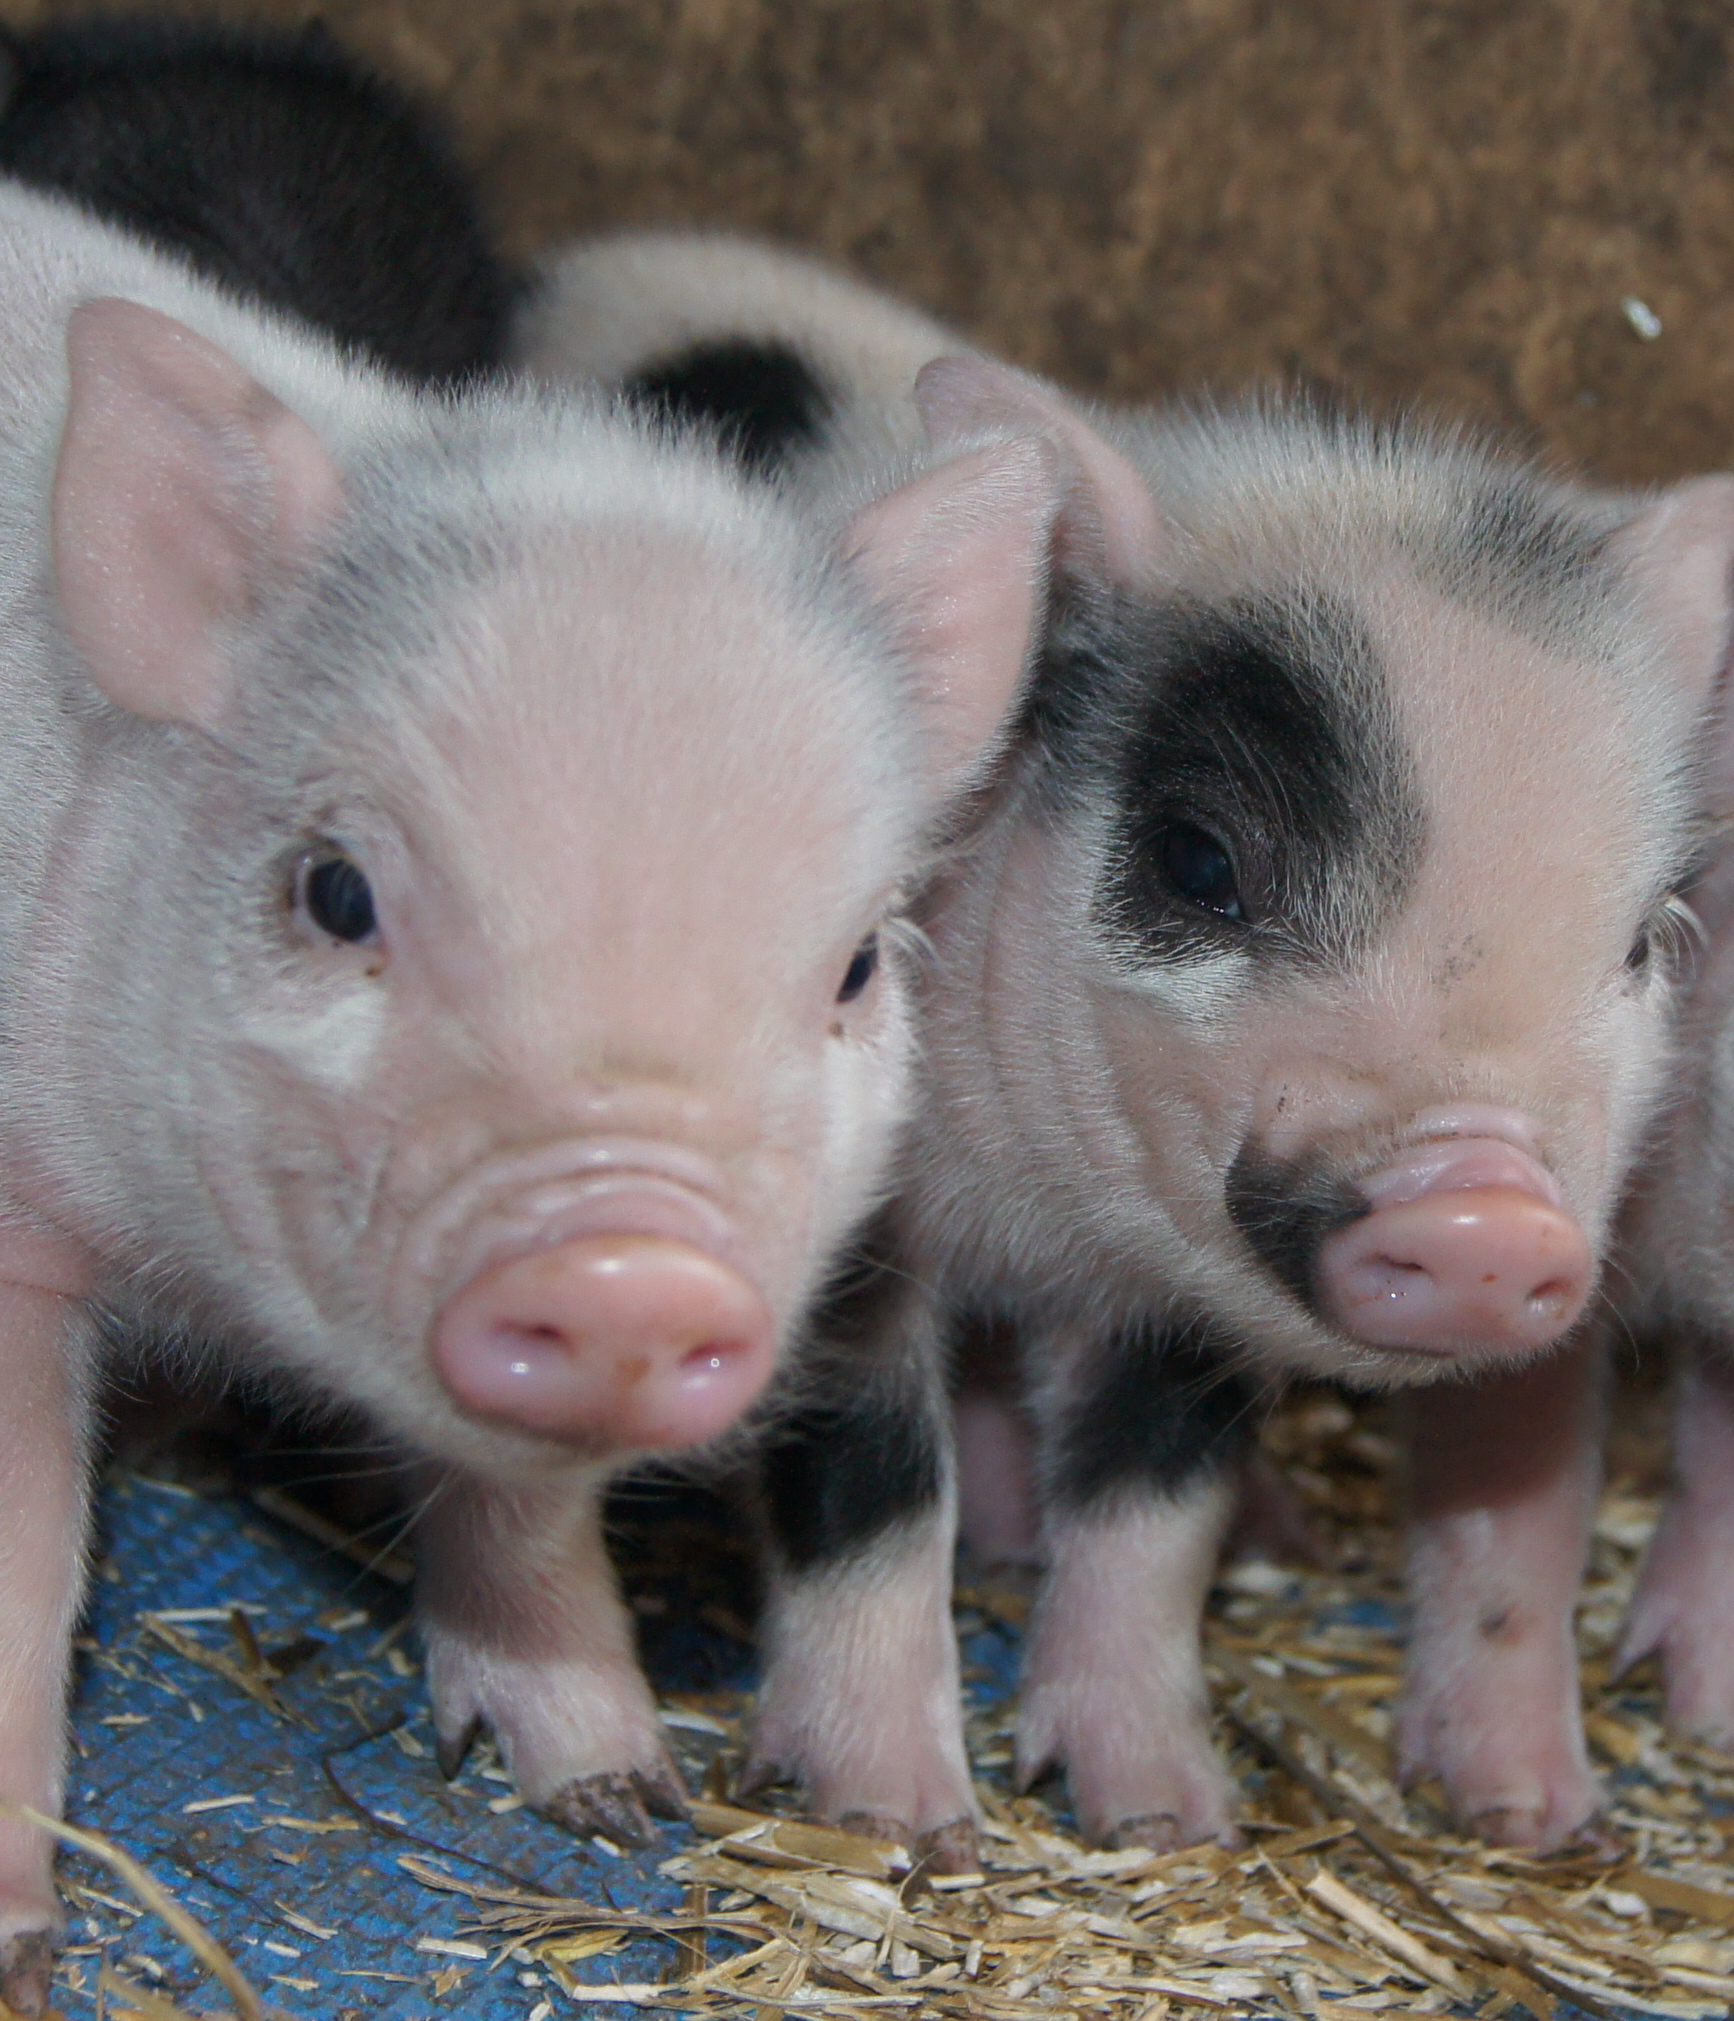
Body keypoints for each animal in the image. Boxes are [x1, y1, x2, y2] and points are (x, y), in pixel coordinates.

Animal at [0, 184, 1056, 2012]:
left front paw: (619, 1800)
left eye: (856, 963)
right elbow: (23, 1559)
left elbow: (522, 1500)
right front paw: (17, 1950)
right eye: (336, 891)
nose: (631, 1273)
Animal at [517, 230, 1734, 1866]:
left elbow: (1153, 1508)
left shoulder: (1191, 1292)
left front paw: (1163, 1813)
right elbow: (870, 1482)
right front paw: (900, 1824)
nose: (1486, 1216)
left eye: (1644, 935)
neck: (1042, 1211)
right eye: (1200, 859)